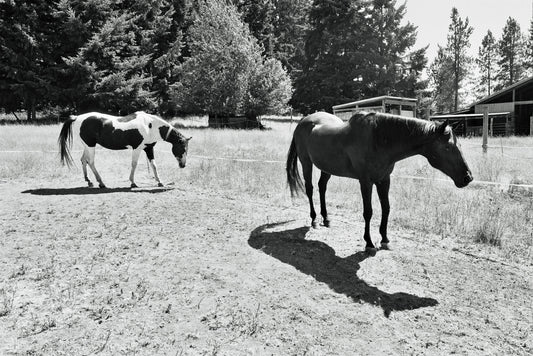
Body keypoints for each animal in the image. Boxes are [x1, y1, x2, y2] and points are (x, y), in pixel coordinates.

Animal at [58, 111, 190, 189]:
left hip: (87, 146)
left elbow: (154, 165)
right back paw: (101, 183)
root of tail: (77, 118)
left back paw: (89, 181)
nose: (183, 165)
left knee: (83, 160)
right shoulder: (137, 149)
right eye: (182, 148)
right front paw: (132, 182)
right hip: (90, 146)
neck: (150, 125)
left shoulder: (149, 148)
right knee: (91, 162)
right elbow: (134, 164)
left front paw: (159, 182)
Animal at [284, 111, 472, 253]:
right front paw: (369, 243)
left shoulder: (384, 180)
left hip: (326, 167)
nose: (468, 177)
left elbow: (386, 208)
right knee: (310, 189)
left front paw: (385, 239)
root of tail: (303, 121)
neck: (378, 139)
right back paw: (315, 220)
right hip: (306, 162)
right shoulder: (365, 181)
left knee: (322, 187)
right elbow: (368, 212)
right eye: (447, 147)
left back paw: (326, 219)